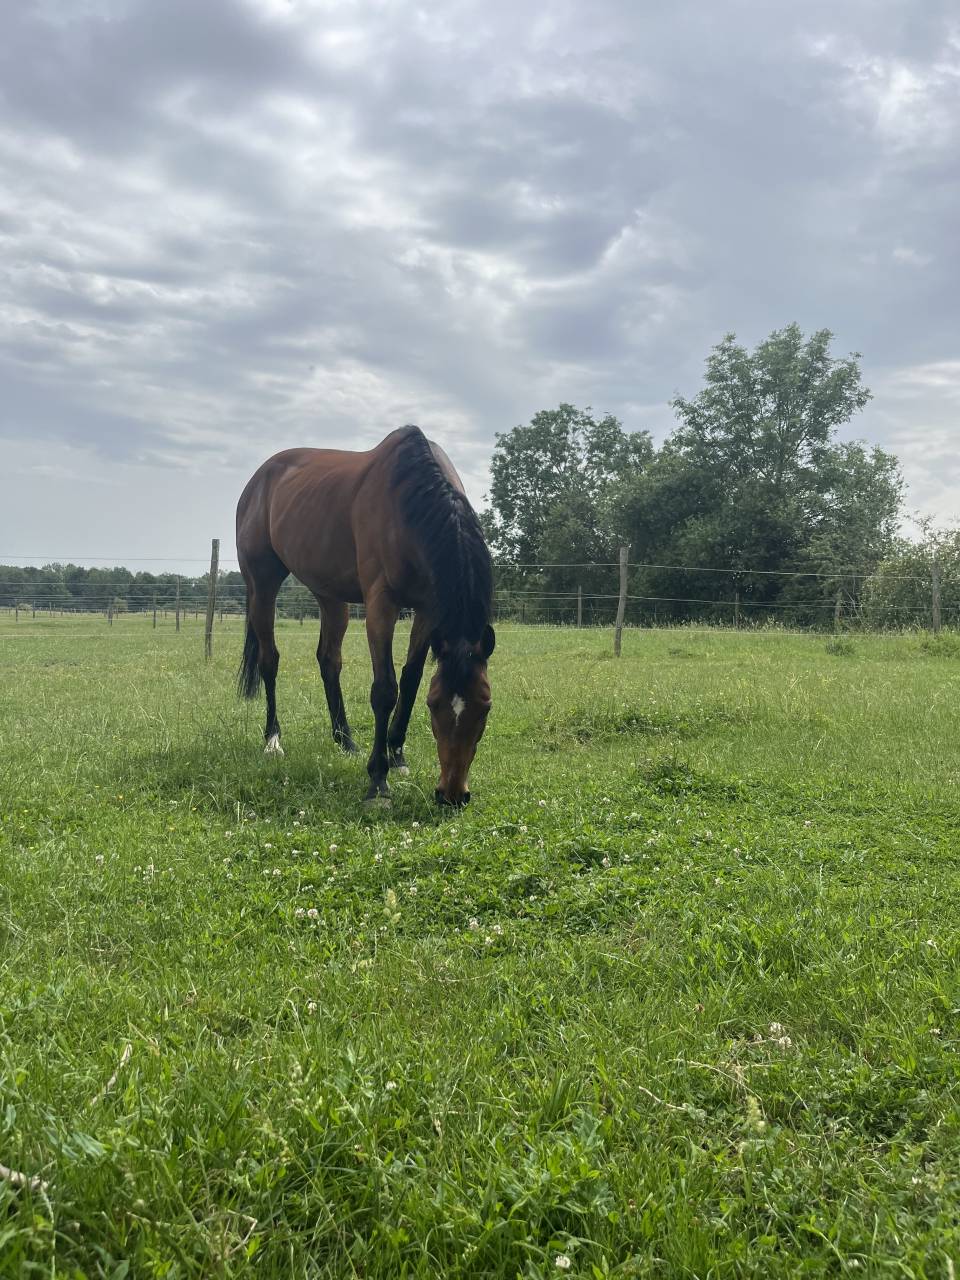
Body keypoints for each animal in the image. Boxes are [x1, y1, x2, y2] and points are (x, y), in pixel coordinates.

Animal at [235, 426, 495, 806]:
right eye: (434, 706)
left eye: (485, 707)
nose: (452, 794)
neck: (409, 500)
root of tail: (256, 480)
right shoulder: (380, 604)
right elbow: (385, 689)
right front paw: (378, 779)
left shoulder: (427, 609)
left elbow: (411, 678)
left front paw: (397, 754)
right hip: (262, 585)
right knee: (270, 660)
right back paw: (273, 740)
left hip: (330, 596)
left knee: (329, 660)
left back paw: (345, 740)